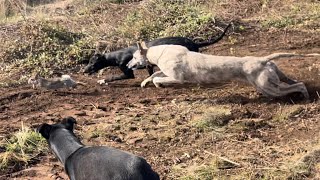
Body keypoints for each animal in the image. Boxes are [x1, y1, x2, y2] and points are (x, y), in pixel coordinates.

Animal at [84, 23, 231, 84]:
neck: (117, 56)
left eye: (92, 62)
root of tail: (195, 43)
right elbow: (151, 74)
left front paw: (102, 80)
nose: (84, 71)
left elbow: (113, 77)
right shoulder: (149, 66)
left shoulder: (128, 73)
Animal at [127, 42, 320, 98]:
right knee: (295, 82)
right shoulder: (166, 70)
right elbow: (156, 73)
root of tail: (263, 60)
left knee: (299, 85)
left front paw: (155, 83)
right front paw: (145, 82)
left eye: (134, 57)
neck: (157, 52)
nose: (128, 65)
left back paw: (305, 96)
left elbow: (157, 77)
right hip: (277, 78)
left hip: (268, 87)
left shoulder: (178, 77)